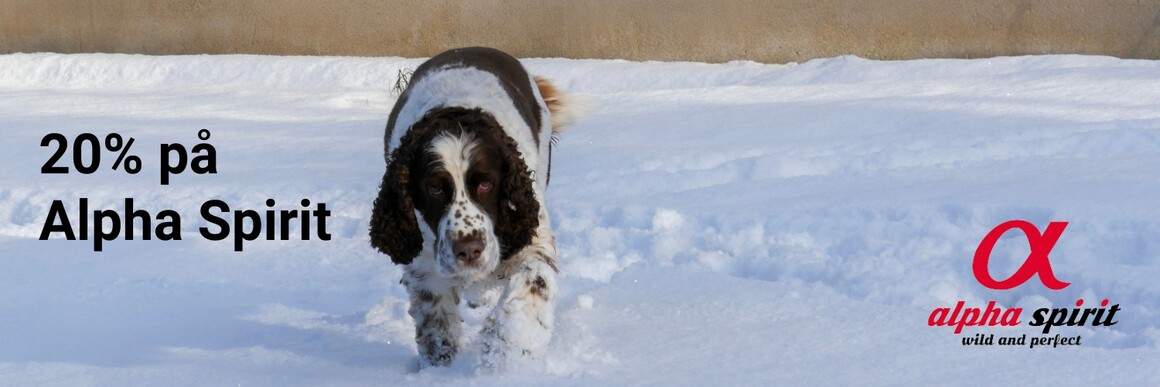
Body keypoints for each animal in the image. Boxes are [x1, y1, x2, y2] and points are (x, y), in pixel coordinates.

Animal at [371, 47, 584, 368]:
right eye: (434, 188)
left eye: (486, 184)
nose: (469, 250)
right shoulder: (424, 263)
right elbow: (436, 321)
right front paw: (440, 369)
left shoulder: (532, 236)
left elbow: (533, 281)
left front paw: (506, 348)